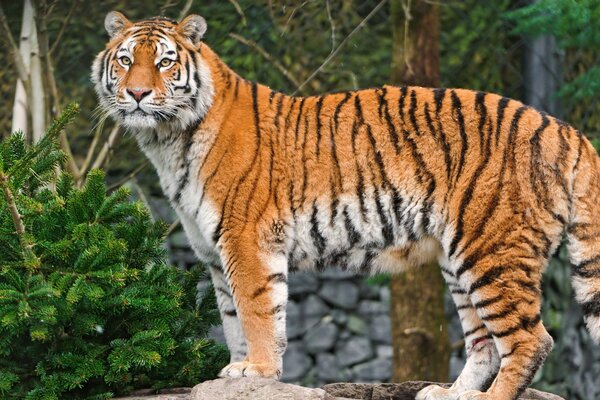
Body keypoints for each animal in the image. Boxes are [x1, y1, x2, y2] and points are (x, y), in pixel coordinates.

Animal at [91, 10, 600, 398]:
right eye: (125, 60)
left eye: (164, 62)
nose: (137, 93)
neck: (167, 139)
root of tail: (566, 129)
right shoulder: (213, 251)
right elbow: (232, 317)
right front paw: (237, 371)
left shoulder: (247, 240)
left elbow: (257, 312)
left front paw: (259, 371)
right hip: (459, 259)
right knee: (485, 343)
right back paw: (449, 394)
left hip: (491, 249)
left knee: (532, 339)